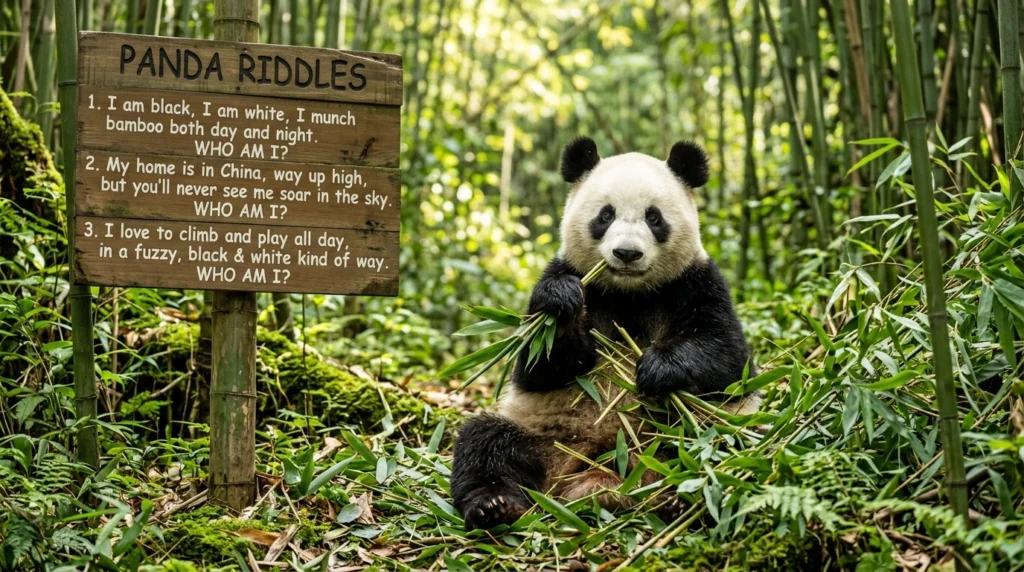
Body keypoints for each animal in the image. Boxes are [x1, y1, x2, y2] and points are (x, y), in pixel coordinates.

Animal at [450, 137, 758, 530]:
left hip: (699, 432)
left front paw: (656, 369)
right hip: (539, 432)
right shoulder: (571, 276)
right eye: (605, 215)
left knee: (718, 447)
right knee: (485, 443)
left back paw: (680, 497)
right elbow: (539, 365)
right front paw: (562, 303)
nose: (626, 253)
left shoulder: (696, 281)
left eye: (654, 217)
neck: (629, 294)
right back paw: (494, 505)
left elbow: (726, 356)